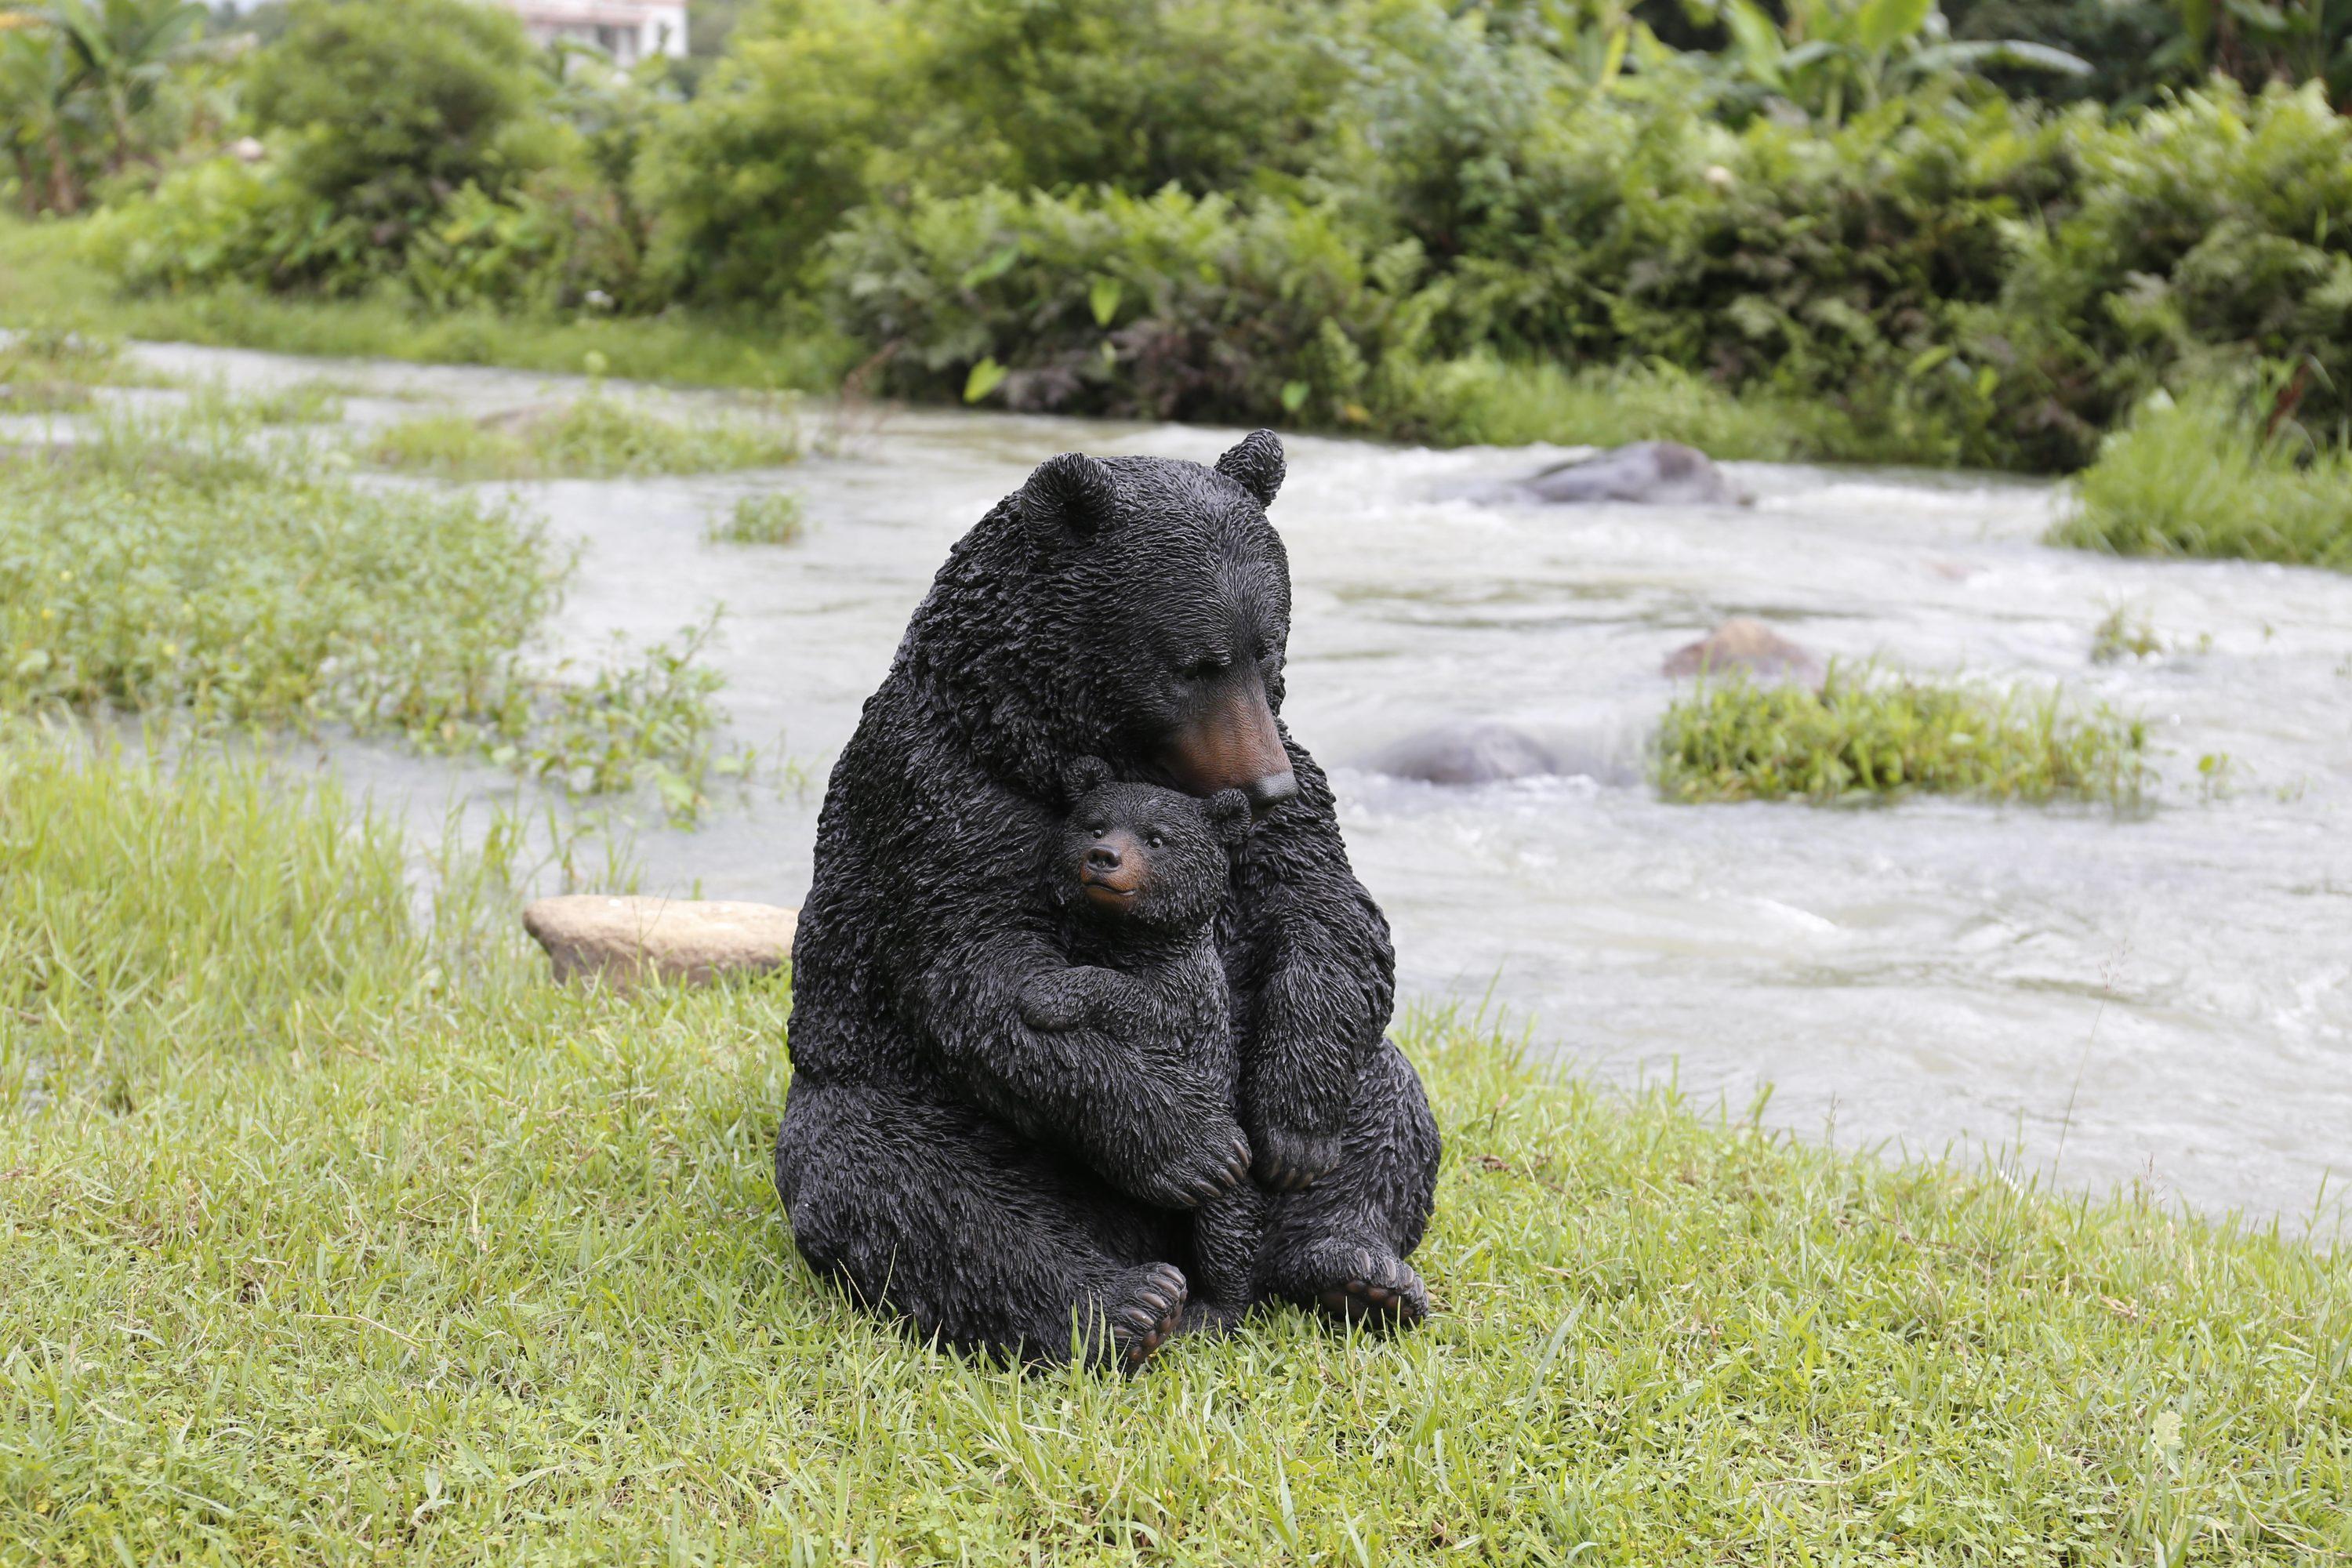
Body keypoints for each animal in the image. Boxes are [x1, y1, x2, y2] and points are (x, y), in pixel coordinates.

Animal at [774, 429, 1441, 1371]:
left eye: (1268, 648)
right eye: (1196, 663)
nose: (1265, 785)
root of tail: (1147, 1239)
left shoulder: (1287, 802)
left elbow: (1331, 915)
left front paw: (1294, 1127)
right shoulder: (942, 796)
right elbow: (984, 973)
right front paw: (1192, 1147)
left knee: (1388, 1100)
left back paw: (1352, 1268)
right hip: (898, 1099)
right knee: (901, 1187)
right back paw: (1122, 1303)